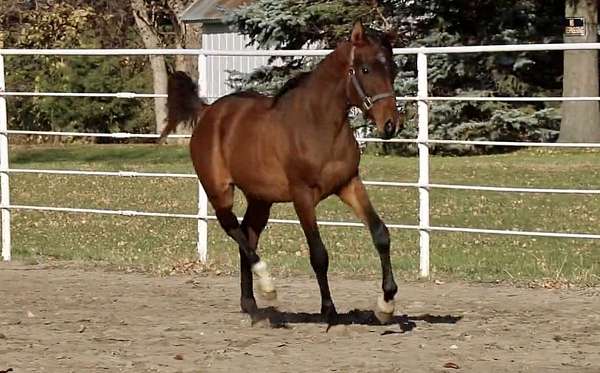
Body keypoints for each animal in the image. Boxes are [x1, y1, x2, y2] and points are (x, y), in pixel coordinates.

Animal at [159, 21, 404, 322]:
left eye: (393, 69)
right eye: (366, 69)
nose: (391, 125)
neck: (318, 125)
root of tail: (208, 113)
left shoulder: (349, 184)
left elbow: (380, 234)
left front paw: (386, 304)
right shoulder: (303, 196)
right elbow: (319, 254)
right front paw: (329, 311)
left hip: (260, 199)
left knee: (247, 234)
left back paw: (251, 303)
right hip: (219, 191)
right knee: (233, 229)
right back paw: (267, 285)